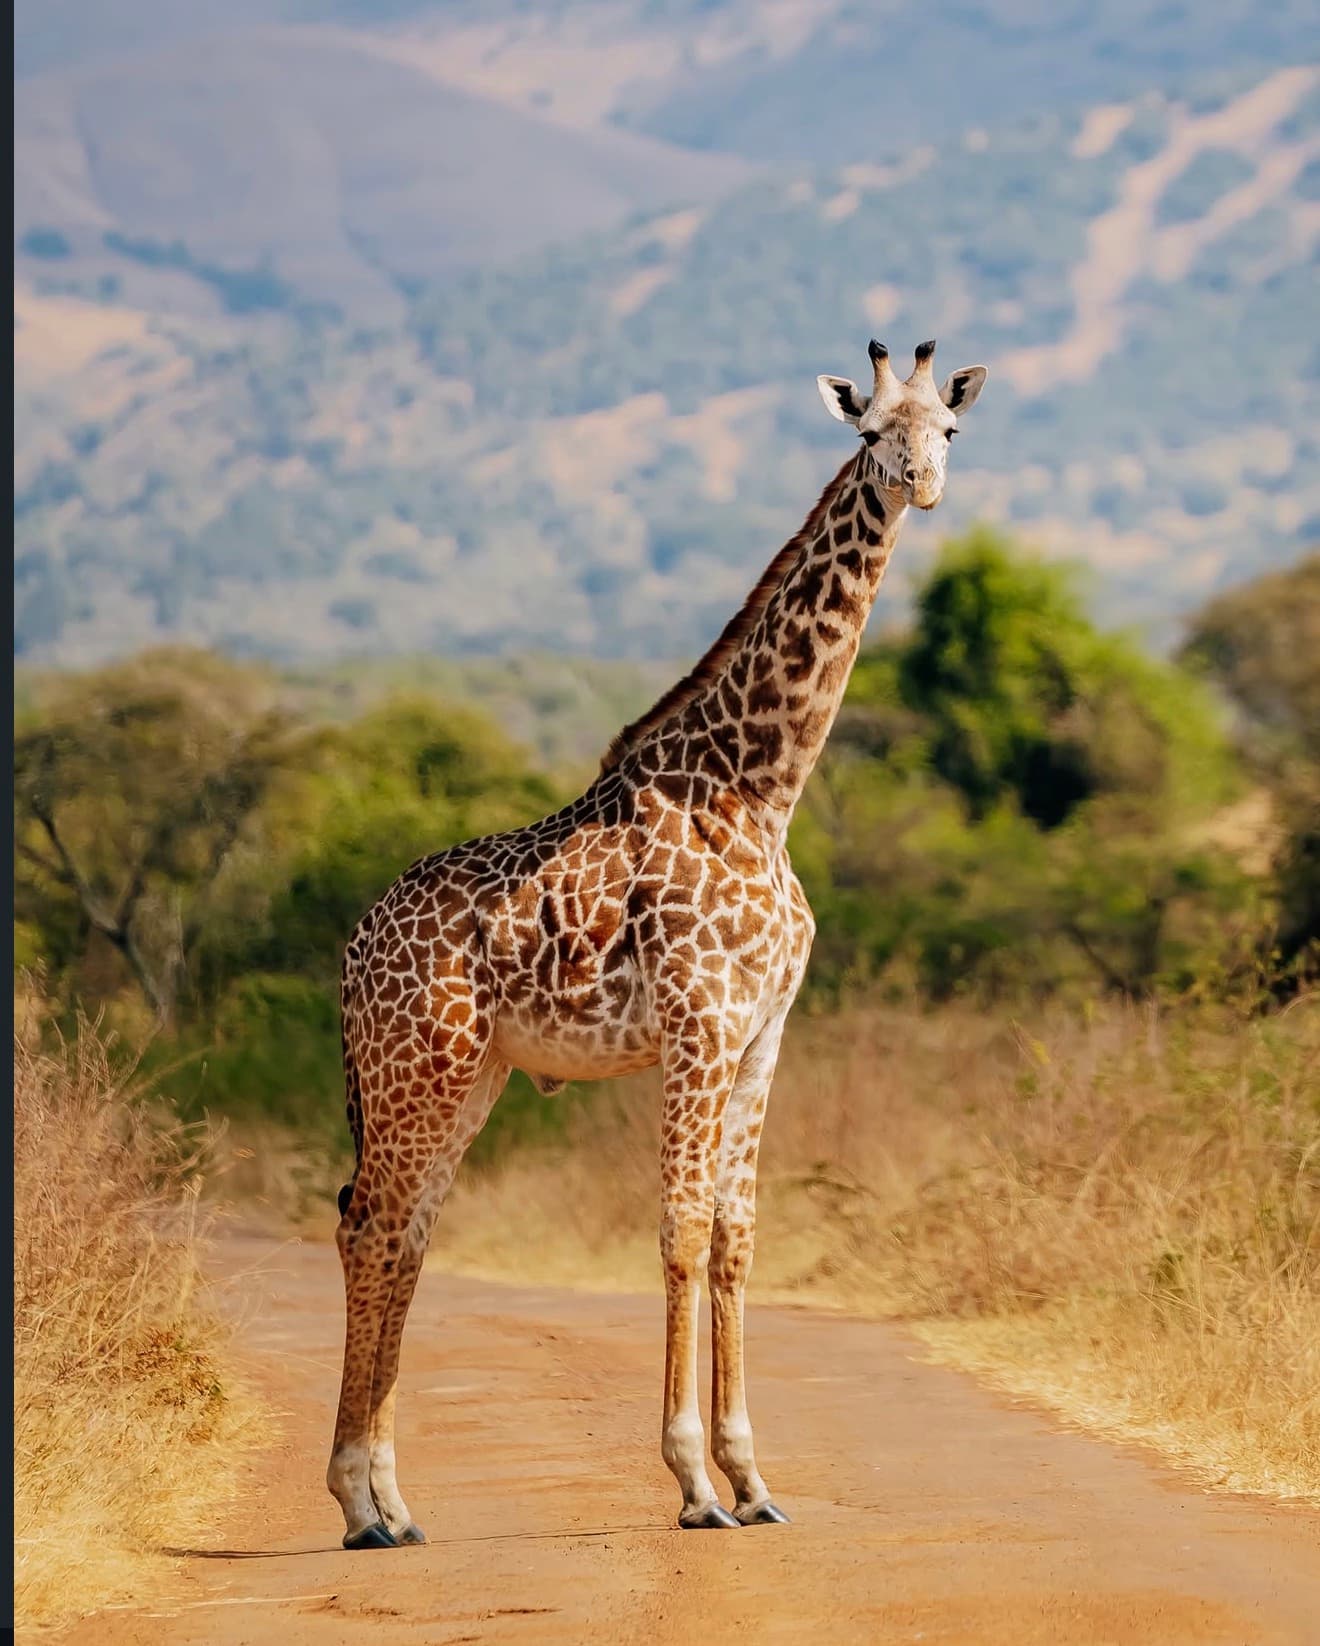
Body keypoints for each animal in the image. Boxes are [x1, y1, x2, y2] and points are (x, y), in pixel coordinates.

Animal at [327, 338, 988, 1546]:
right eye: (871, 431)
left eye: (949, 431)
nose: (919, 485)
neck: (760, 791)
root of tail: (349, 952)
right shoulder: (697, 1024)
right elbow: (680, 1229)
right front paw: (692, 1485)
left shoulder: (764, 1034)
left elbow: (735, 1235)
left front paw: (753, 1479)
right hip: (417, 1069)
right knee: (373, 1225)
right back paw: (358, 1502)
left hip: (471, 1075)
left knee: (403, 1232)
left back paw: (394, 1502)